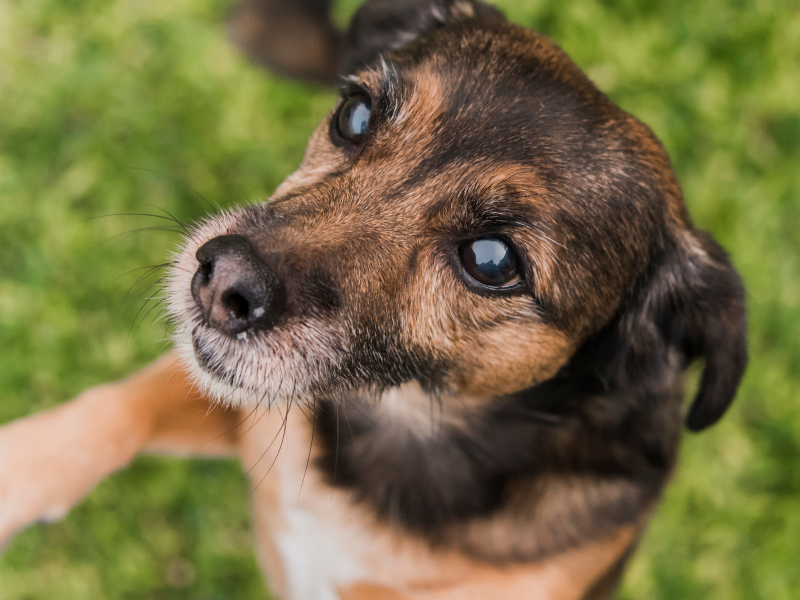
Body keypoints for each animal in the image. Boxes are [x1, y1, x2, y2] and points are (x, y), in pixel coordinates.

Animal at [1, 2, 752, 596]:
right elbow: (124, 402)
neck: (404, 424)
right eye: (354, 115)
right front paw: (21, 471)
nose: (218, 281)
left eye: (492, 260)